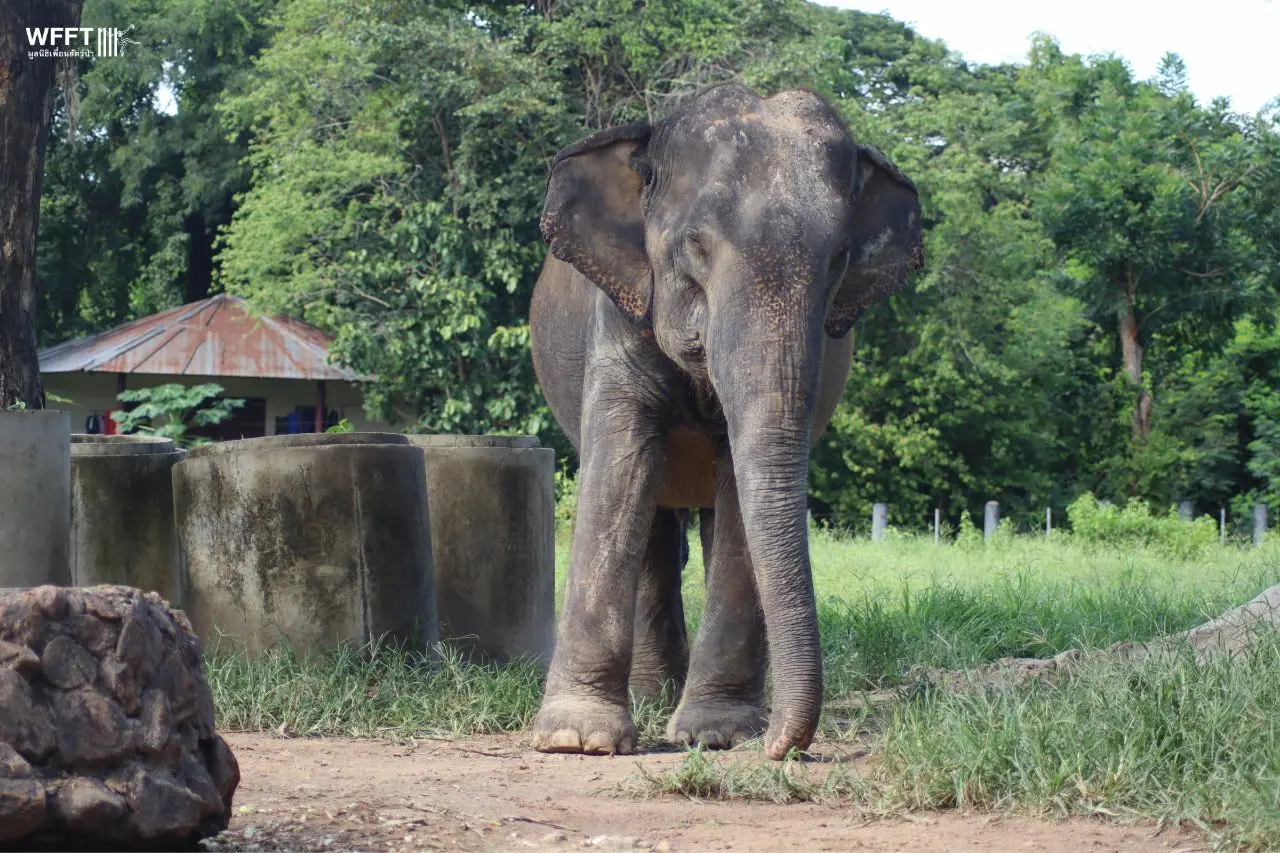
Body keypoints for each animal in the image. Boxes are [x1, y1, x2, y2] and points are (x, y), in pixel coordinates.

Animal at [528, 82, 923, 760]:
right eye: (695, 245)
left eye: (840, 259)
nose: (783, 750)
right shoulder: (620, 309)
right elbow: (619, 471)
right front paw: (576, 741)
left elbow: (741, 488)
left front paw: (719, 734)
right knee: (655, 528)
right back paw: (655, 696)